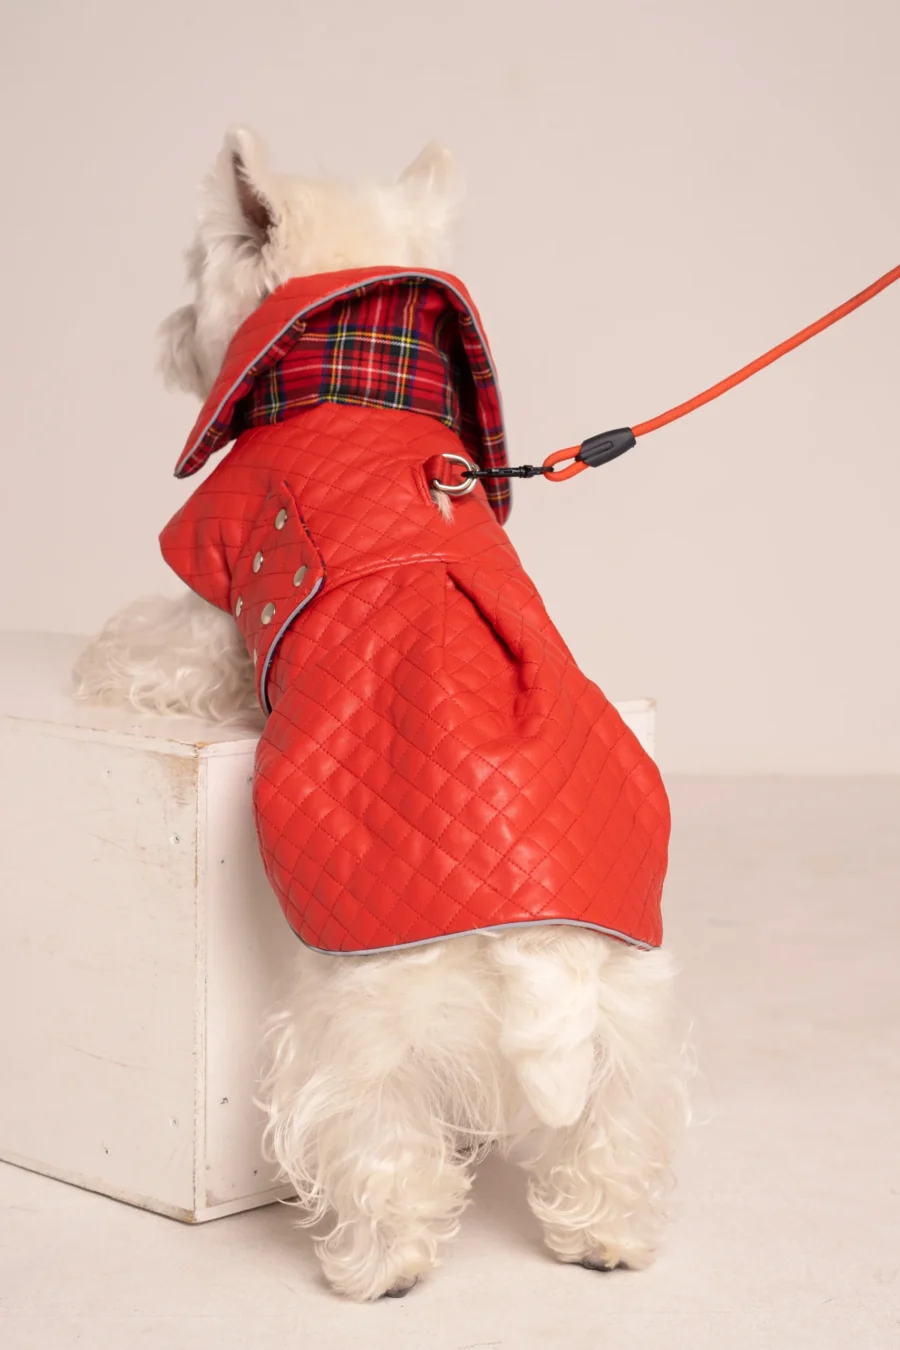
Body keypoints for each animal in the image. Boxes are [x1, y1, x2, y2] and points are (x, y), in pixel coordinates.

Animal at [77, 131, 685, 1301]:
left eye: (198, 264)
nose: (168, 335)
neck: (358, 380)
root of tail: (535, 924)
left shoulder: (212, 584)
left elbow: (157, 645)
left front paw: (98, 667)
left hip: (360, 1013)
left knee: (380, 1144)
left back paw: (380, 1265)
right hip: (628, 1000)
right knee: (615, 1128)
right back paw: (605, 1236)